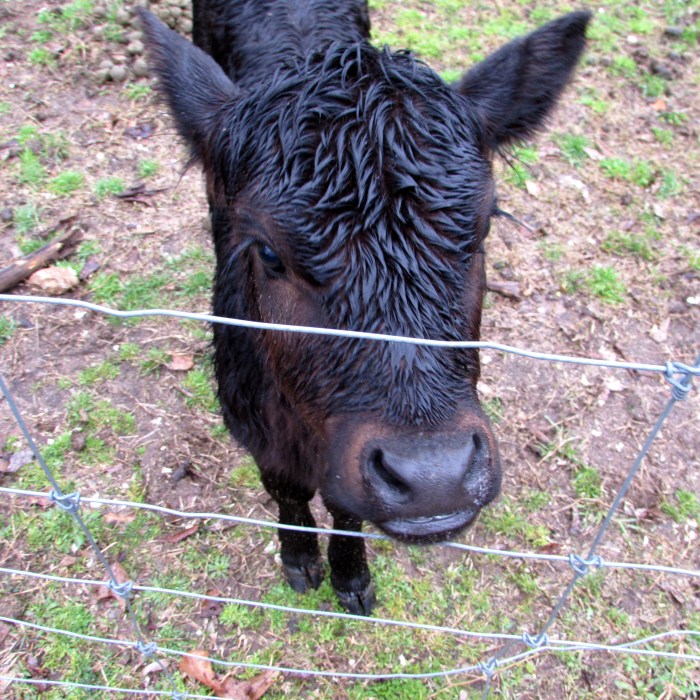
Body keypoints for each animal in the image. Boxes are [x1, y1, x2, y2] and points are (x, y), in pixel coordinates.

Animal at [140, 1, 590, 615]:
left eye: (481, 231)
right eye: (267, 252)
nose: (434, 476)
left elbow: (344, 504)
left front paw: (350, 575)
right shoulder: (248, 413)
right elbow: (285, 487)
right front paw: (299, 558)